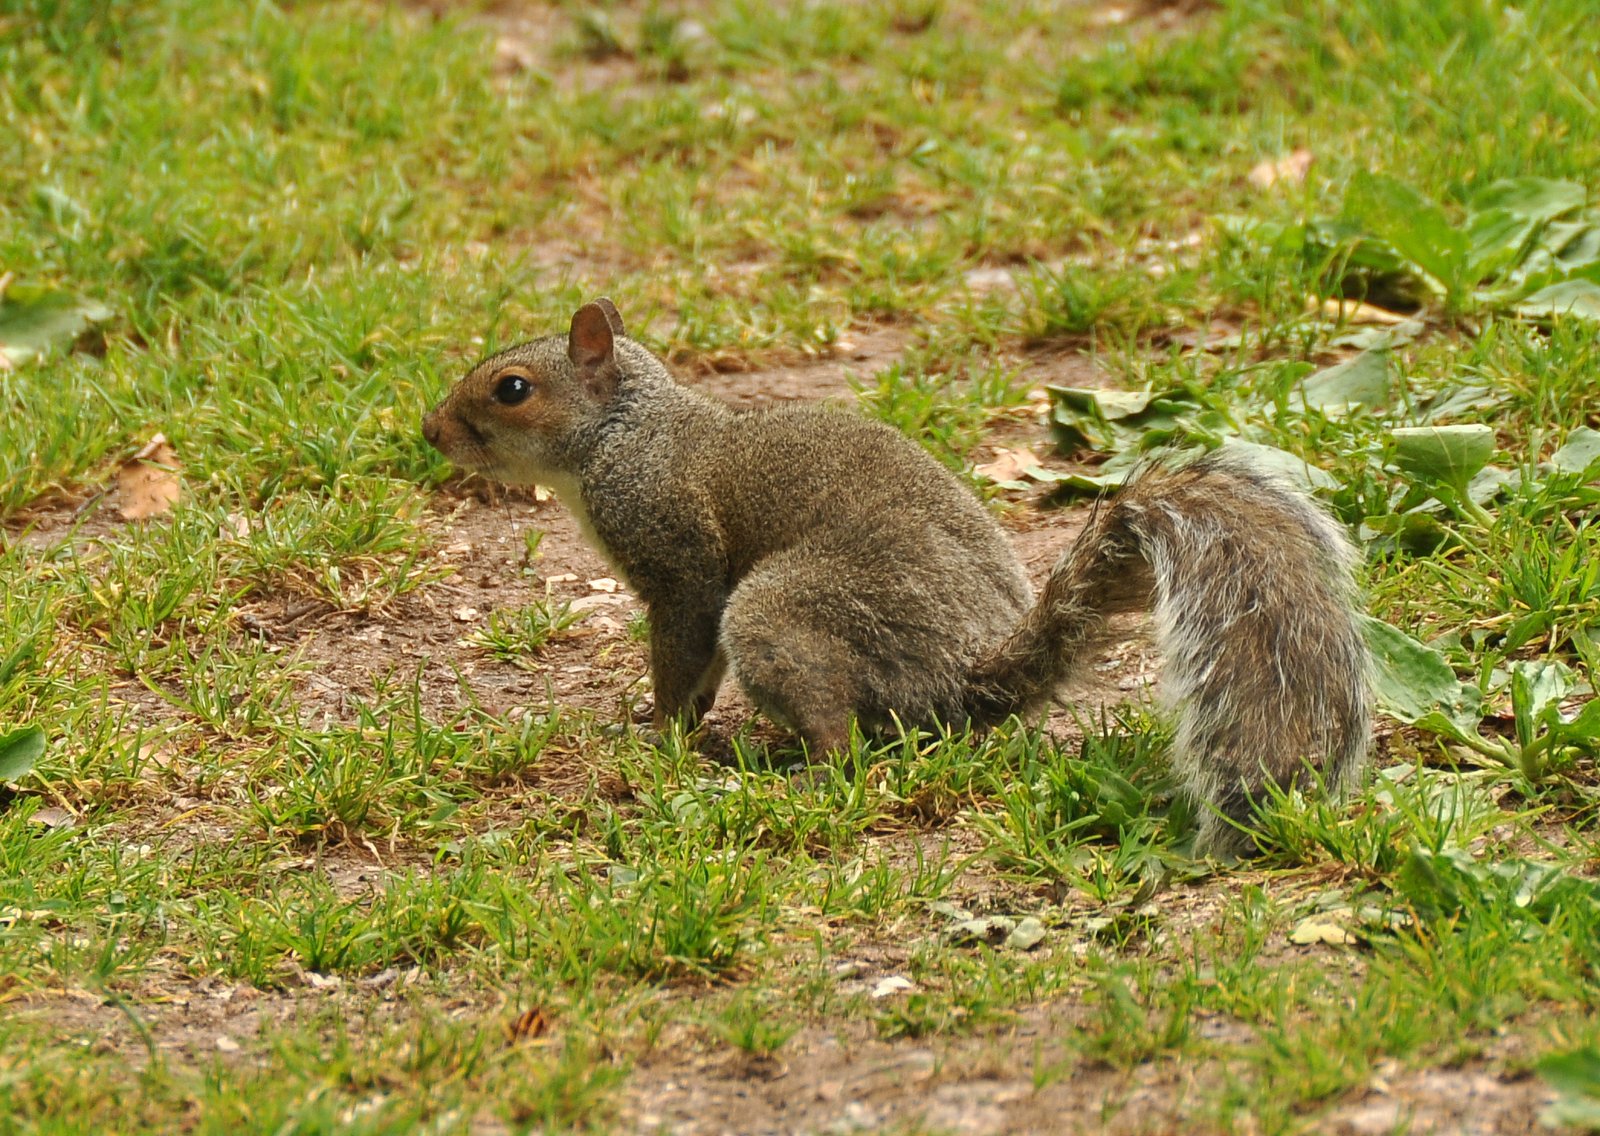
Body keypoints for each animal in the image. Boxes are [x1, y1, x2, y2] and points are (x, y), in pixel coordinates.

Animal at [422, 298, 1372, 855]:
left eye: (511, 389)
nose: (430, 431)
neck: (623, 437)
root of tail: (969, 676)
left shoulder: (677, 557)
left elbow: (685, 650)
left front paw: (660, 735)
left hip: (784, 611)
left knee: (843, 740)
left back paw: (797, 773)